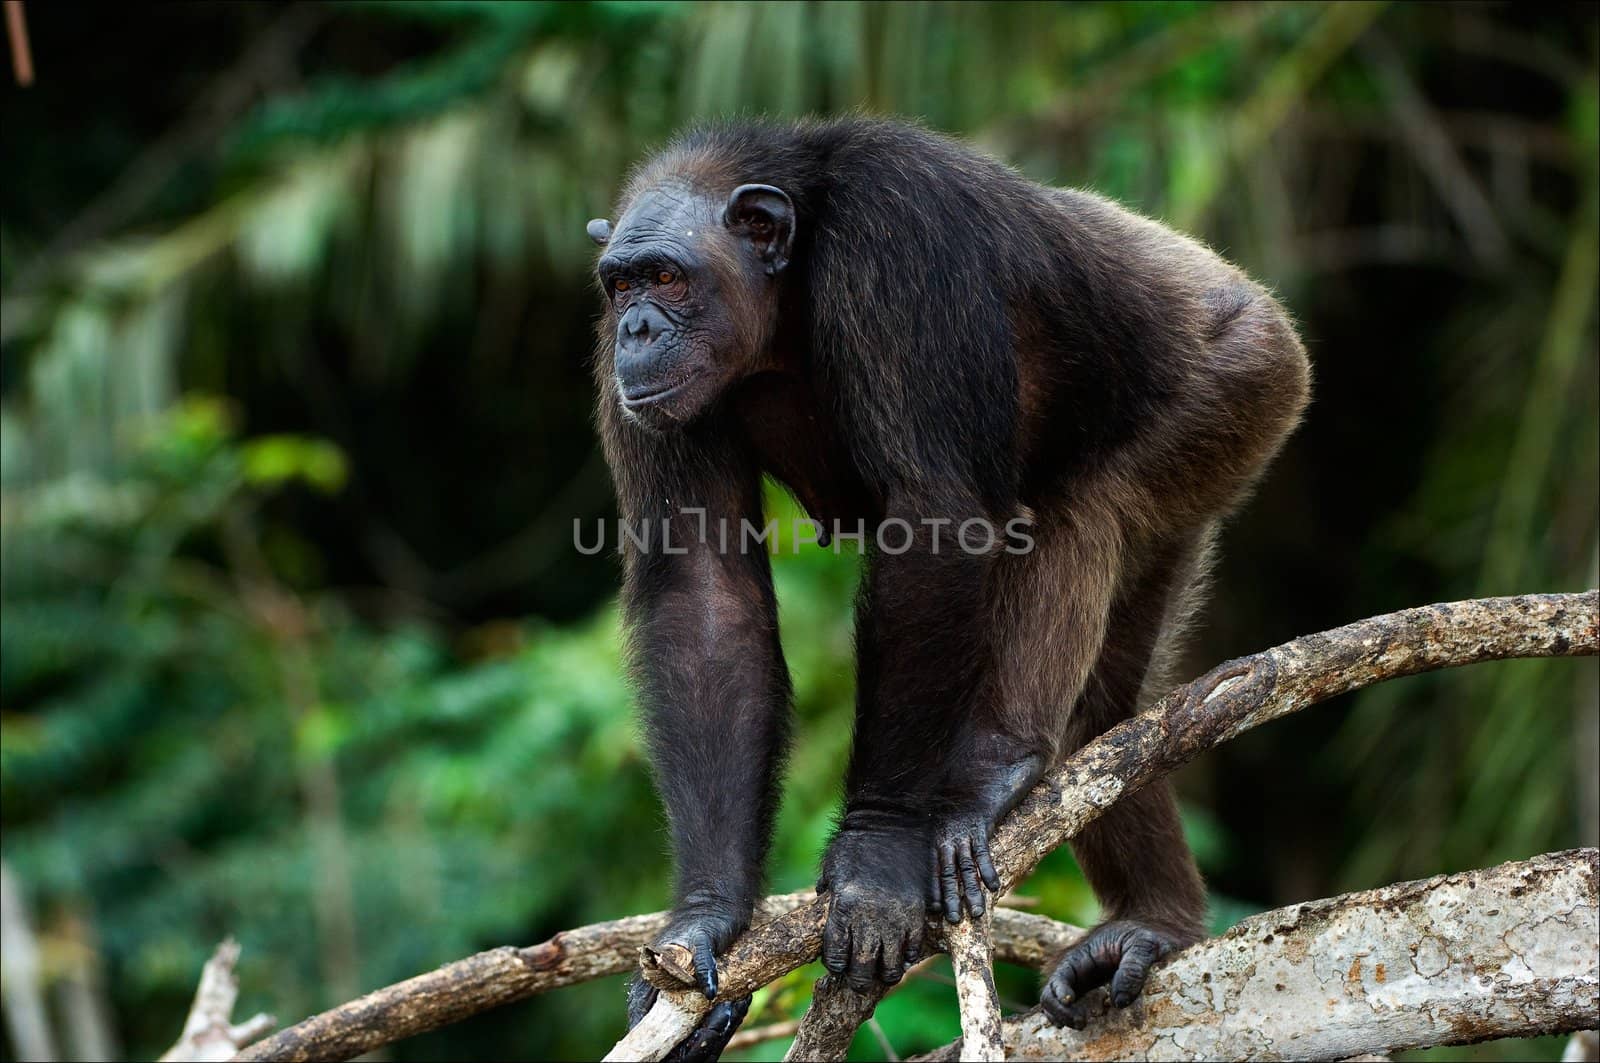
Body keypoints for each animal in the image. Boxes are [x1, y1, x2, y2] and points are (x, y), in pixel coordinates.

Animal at [588, 116, 1312, 1056]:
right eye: (621, 282)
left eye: (669, 276)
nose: (637, 328)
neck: (786, 297)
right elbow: (702, 593)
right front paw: (707, 918)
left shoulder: (898, 242)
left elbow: (933, 518)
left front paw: (874, 861)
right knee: (1109, 708)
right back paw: (1151, 922)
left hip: (1237, 389)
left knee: (1084, 505)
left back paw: (995, 773)